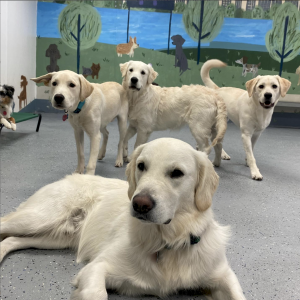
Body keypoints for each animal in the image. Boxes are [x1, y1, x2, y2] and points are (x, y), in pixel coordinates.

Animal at [0, 138, 246, 300]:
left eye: (177, 173)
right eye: (141, 166)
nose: (140, 204)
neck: (168, 242)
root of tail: (69, 176)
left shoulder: (223, 276)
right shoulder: (97, 268)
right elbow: (96, 292)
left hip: (54, 237)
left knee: (11, 240)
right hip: (38, 218)